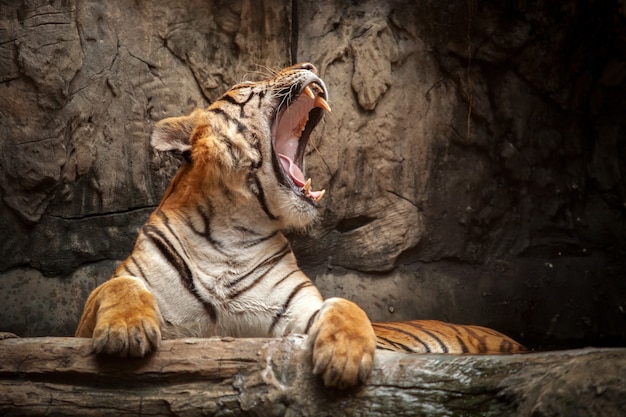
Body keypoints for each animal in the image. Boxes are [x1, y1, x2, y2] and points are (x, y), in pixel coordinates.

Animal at [75, 62, 524, 390]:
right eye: (246, 85)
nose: (309, 64)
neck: (231, 231)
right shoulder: (86, 322)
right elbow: (117, 285)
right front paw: (127, 332)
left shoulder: (297, 313)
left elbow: (344, 305)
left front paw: (344, 357)